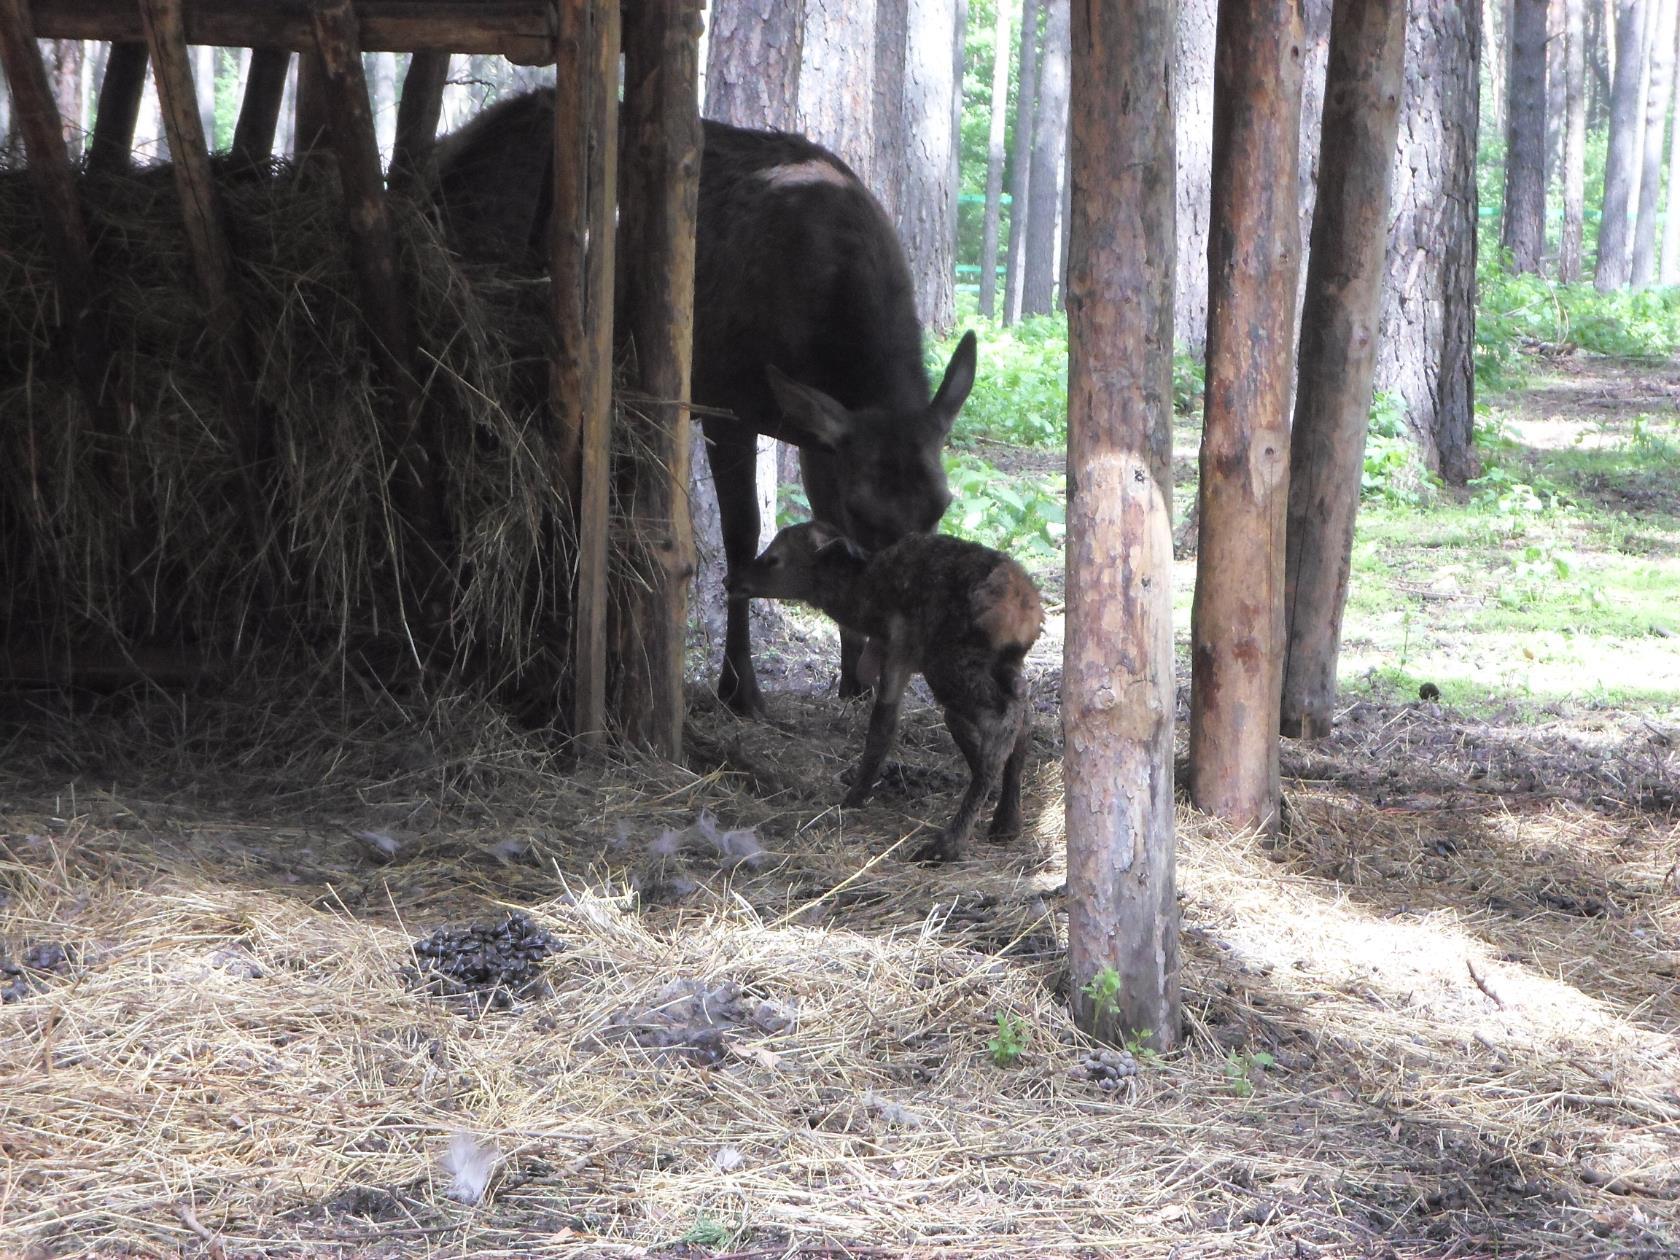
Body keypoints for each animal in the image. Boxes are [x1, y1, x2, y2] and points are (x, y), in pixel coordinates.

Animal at [426, 92, 981, 715]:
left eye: (941, 505)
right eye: (866, 511)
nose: (899, 649)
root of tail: (444, 157)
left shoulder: (821, 437)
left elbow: (822, 523)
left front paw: (852, 680)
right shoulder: (729, 406)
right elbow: (744, 538)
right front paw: (740, 687)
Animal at [732, 517, 1041, 866]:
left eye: (774, 558)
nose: (731, 580)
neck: (865, 606)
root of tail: (1026, 611)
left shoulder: (898, 650)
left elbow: (882, 726)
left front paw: (854, 796)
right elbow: (952, 722)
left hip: (950, 663)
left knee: (1001, 719)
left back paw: (949, 842)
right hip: (999, 665)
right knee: (1022, 710)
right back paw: (1007, 819)